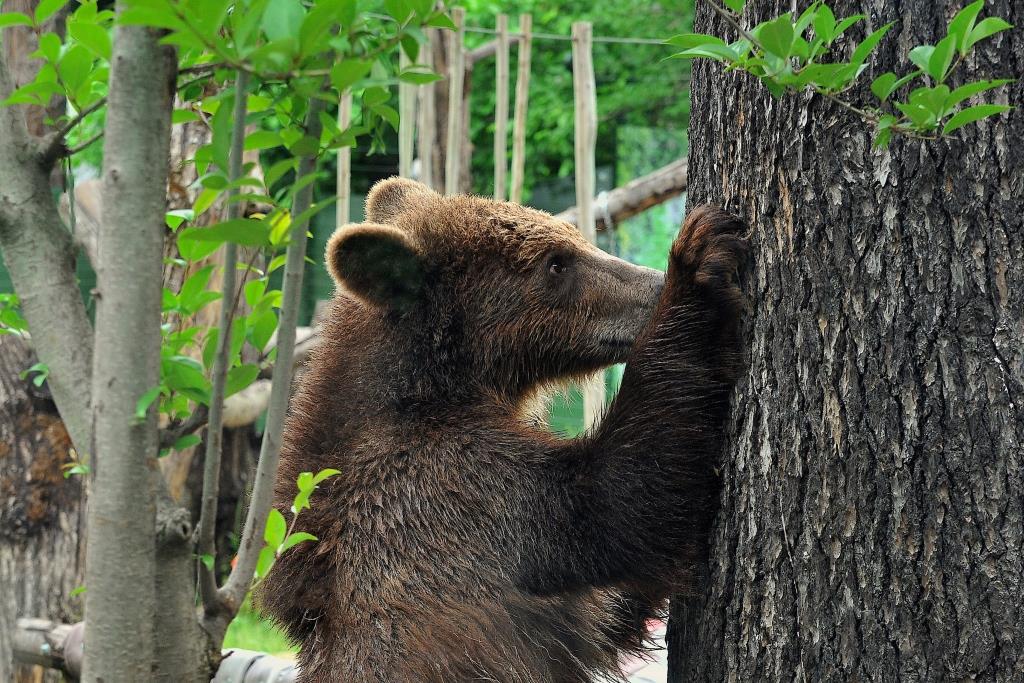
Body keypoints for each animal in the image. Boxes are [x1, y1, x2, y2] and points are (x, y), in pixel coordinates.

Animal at [260, 179, 749, 679]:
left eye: (575, 238)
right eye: (557, 262)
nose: (653, 285)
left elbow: (614, 601)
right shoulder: (452, 493)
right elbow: (618, 502)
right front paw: (699, 258)